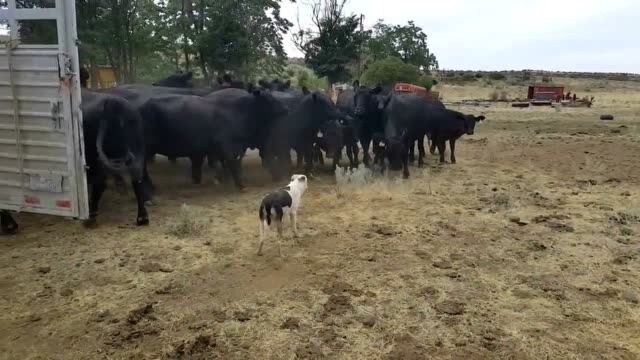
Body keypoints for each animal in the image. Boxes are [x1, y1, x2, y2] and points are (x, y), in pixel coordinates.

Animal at [80, 90, 149, 225]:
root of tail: (112, 103)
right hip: (138, 149)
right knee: (137, 178)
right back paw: (142, 217)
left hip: (95, 155)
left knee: (99, 182)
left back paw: (92, 215)